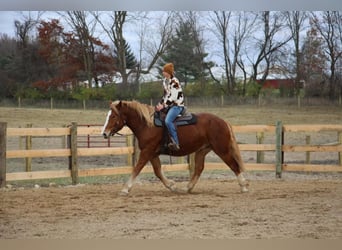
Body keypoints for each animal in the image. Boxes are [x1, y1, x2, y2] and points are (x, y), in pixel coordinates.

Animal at [101, 100, 248, 195]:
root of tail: (223, 122)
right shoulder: (152, 154)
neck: (147, 125)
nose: (104, 133)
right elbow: (158, 172)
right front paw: (172, 186)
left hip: (222, 150)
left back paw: (243, 187)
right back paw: (187, 188)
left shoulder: (147, 151)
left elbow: (137, 168)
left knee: (234, 165)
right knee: (199, 168)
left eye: (113, 115)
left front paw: (125, 188)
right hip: (202, 150)